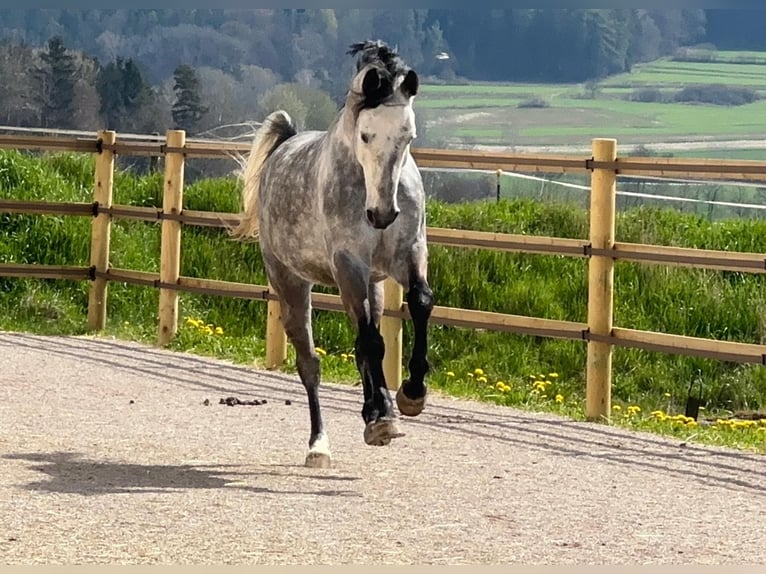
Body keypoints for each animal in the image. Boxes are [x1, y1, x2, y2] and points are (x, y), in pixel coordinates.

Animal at [231, 40, 433, 469]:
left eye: (408, 136)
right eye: (366, 135)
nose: (382, 215)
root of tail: (284, 145)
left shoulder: (409, 254)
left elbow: (418, 305)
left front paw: (411, 395)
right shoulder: (348, 265)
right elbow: (369, 342)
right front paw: (383, 420)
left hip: (372, 285)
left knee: (365, 341)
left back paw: (376, 409)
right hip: (291, 283)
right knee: (311, 364)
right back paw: (319, 445)